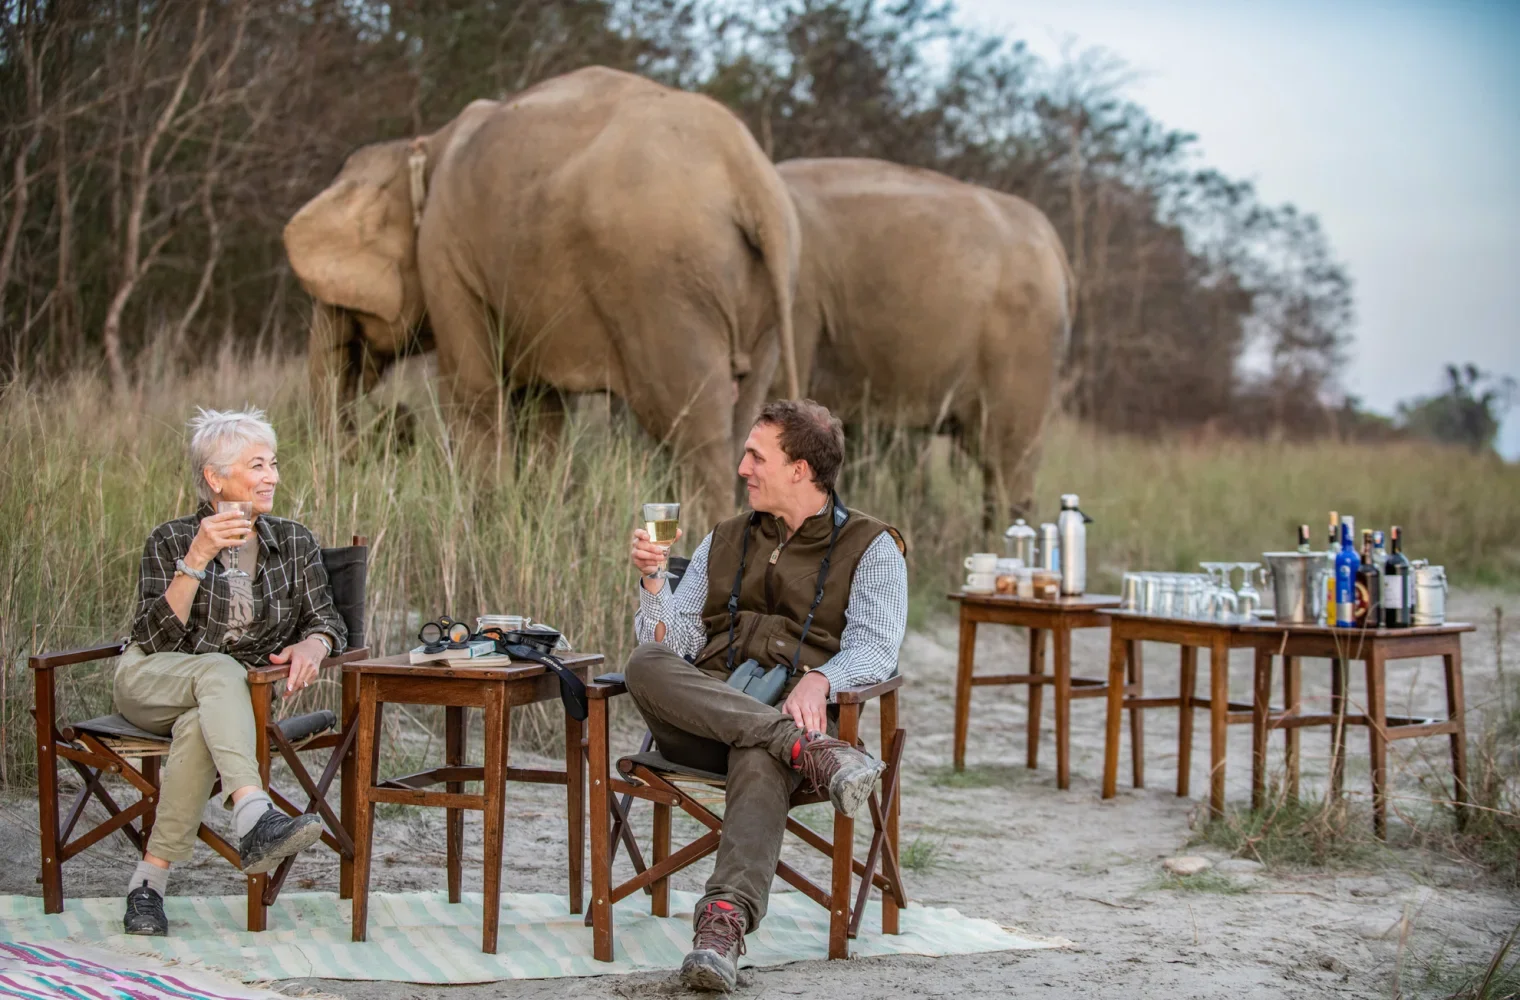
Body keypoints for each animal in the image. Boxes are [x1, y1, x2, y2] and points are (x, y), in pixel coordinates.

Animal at [283, 66, 801, 532]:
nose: (395, 422)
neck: (421, 147)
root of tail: (749, 177)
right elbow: (541, 411)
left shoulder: (445, 256)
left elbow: (473, 395)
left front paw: (486, 527)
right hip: (755, 307)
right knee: (738, 425)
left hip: (667, 290)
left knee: (694, 437)